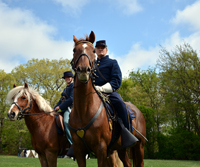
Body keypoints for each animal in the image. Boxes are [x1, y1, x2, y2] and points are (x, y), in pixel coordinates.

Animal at [69, 30, 147, 166]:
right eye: (74, 50)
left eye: (93, 51)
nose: (83, 70)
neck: (83, 111)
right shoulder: (79, 150)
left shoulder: (101, 149)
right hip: (121, 149)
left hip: (139, 146)